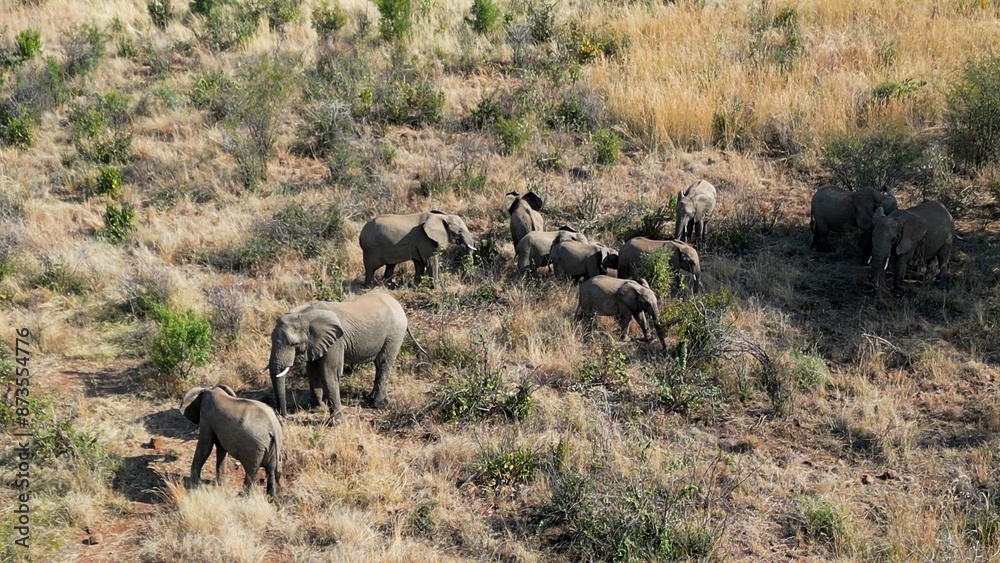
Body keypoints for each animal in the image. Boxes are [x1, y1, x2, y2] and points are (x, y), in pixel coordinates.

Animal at [267, 291, 418, 419]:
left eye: (293, 344)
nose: (284, 415)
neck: (304, 314)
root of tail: (397, 303)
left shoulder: (336, 341)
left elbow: (329, 371)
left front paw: (337, 421)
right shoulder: (315, 342)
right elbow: (312, 370)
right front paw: (318, 409)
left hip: (395, 332)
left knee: (383, 363)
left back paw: (377, 405)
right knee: (378, 364)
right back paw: (371, 399)